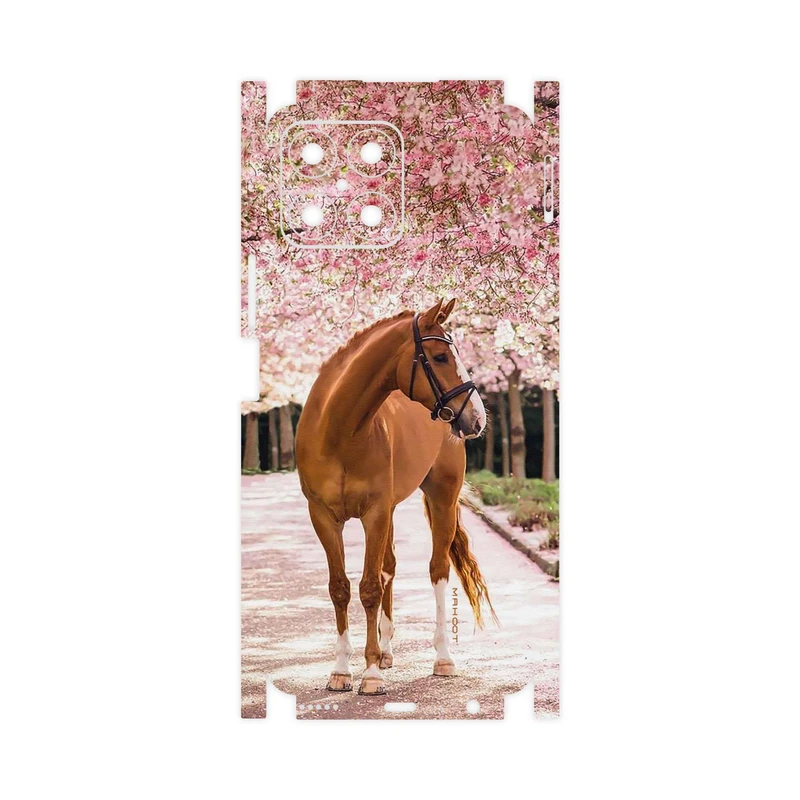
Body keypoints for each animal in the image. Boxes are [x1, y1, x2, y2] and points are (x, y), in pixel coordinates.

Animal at [295, 298, 495, 695]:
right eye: (439, 357)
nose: (477, 418)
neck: (339, 431)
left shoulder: (374, 513)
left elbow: (370, 588)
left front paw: (370, 674)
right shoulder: (324, 517)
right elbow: (340, 588)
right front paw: (341, 670)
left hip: (441, 497)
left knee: (437, 570)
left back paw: (442, 658)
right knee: (389, 567)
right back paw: (386, 651)